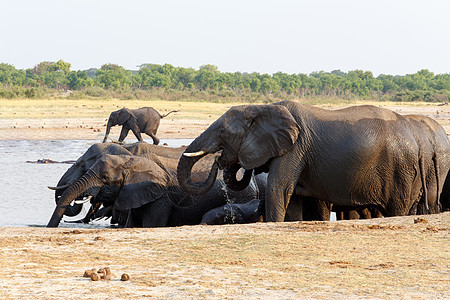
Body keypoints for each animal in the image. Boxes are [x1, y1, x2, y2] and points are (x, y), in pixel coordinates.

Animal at [177, 101, 450, 223]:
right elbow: (293, 198)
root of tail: (418, 140)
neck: (262, 107)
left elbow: (278, 189)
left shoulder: (294, 149)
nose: (218, 160)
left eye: (223, 133)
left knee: (398, 208)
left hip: (402, 170)